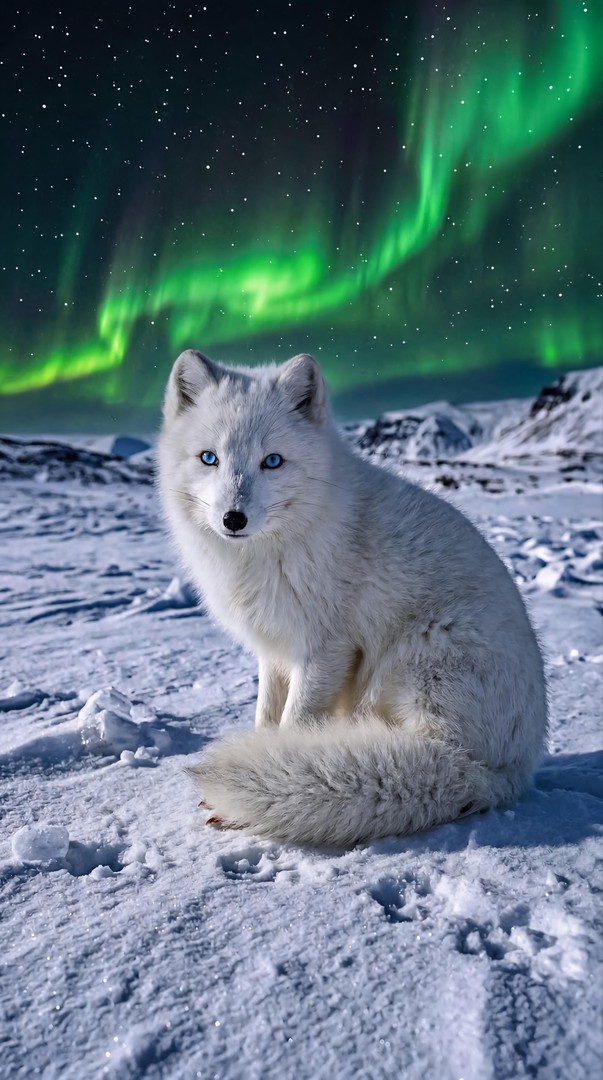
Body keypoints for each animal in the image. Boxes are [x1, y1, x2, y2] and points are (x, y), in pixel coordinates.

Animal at [158, 349, 547, 847]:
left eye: (272, 461)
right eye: (209, 458)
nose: (233, 519)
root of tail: (499, 773)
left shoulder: (326, 650)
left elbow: (294, 724)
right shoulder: (275, 650)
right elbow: (266, 716)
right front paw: (260, 750)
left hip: (420, 655)